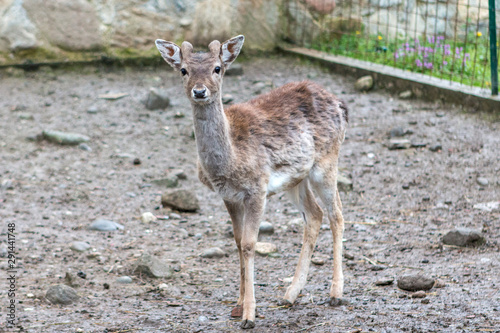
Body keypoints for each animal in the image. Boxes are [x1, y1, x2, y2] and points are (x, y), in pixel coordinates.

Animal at [155, 35, 348, 326]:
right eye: (183, 70)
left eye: (217, 68)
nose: (199, 91)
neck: (229, 161)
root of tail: (340, 104)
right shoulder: (229, 196)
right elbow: (237, 242)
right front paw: (237, 304)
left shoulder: (257, 189)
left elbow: (249, 244)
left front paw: (249, 314)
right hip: (296, 178)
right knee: (315, 214)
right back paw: (290, 294)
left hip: (326, 162)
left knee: (336, 213)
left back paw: (335, 293)